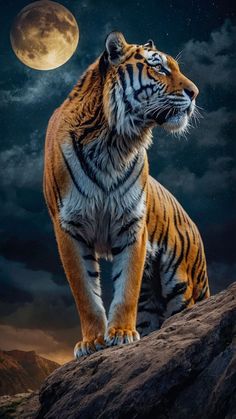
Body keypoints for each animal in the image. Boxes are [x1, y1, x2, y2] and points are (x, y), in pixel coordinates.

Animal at [43, 32, 209, 360]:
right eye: (158, 67)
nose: (195, 92)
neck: (113, 142)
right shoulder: (68, 226)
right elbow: (85, 291)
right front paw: (93, 341)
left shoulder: (133, 224)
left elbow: (126, 287)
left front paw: (120, 334)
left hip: (181, 283)